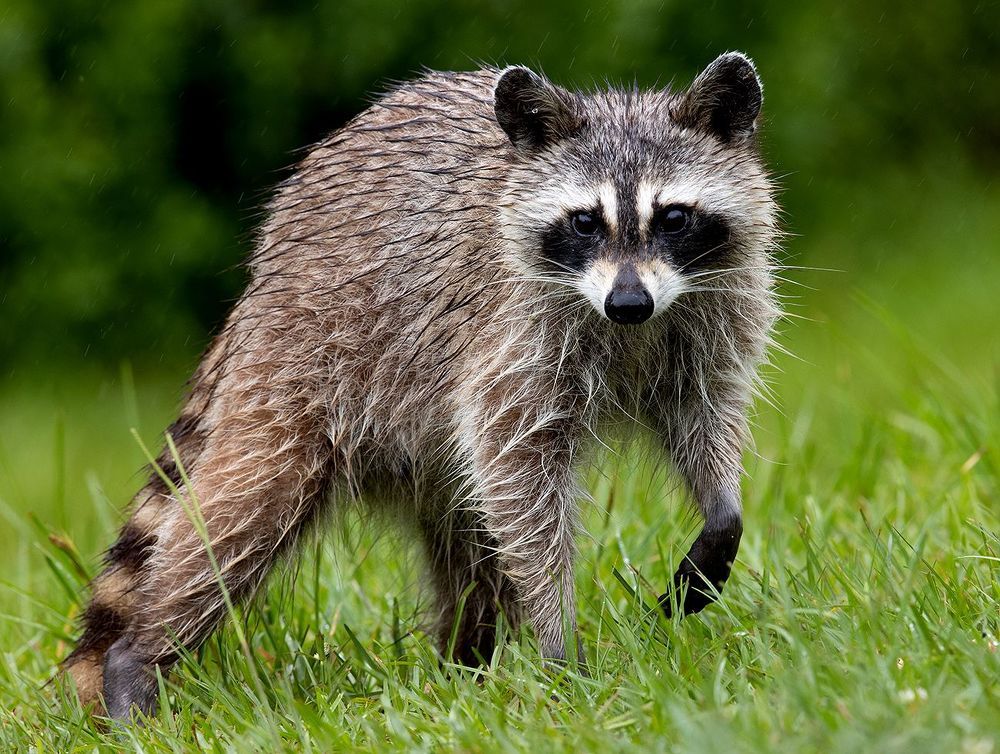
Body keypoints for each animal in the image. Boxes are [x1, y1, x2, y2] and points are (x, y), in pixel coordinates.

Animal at [64, 51, 780, 719]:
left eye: (674, 216)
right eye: (584, 221)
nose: (628, 303)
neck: (633, 325)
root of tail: (260, 282)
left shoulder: (710, 318)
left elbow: (705, 414)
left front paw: (723, 512)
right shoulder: (509, 337)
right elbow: (520, 475)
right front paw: (556, 631)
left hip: (424, 453)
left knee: (469, 549)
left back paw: (464, 664)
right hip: (304, 365)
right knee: (242, 511)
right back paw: (139, 655)